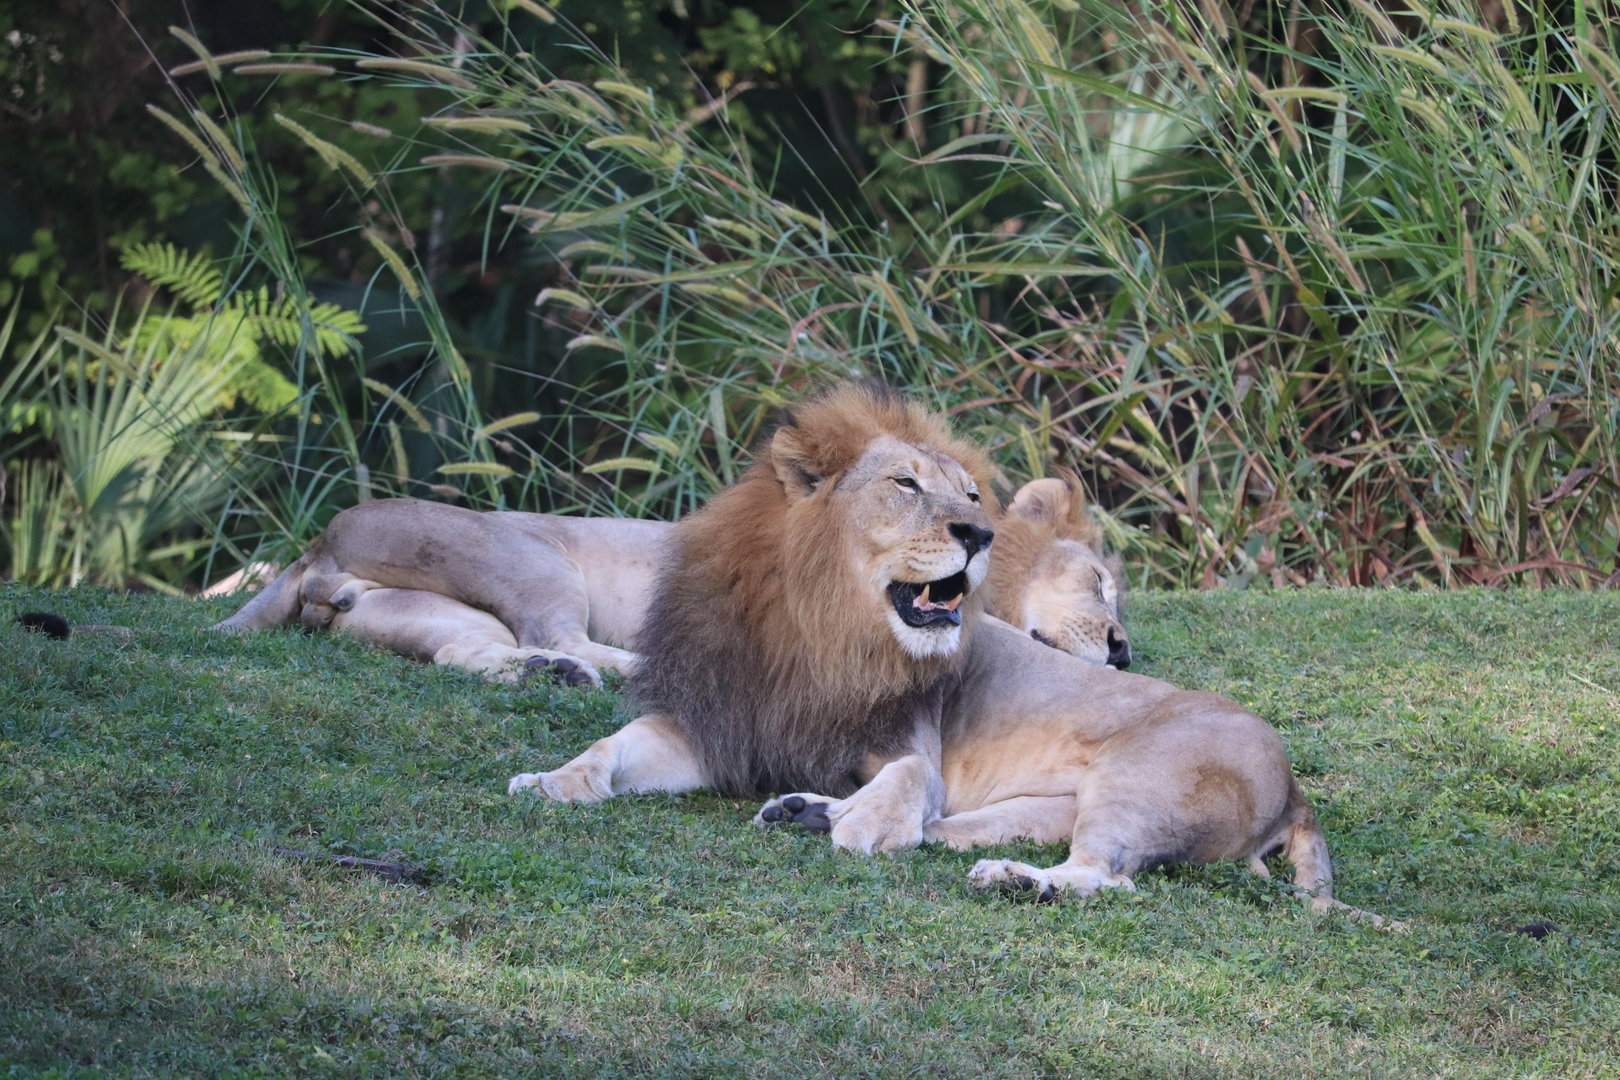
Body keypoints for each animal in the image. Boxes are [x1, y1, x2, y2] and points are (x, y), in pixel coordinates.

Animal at [507, 382, 1388, 922]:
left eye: (969, 495)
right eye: (905, 484)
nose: (978, 532)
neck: (820, 629)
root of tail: (1295, 787)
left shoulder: (910, 741)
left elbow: (909, 779)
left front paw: (865, 828)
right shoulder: (714, 724)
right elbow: (609, 747)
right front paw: (548, 782)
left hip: (1141, 783)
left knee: (1103, 877)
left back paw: (1005, 879)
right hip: (1041, 807)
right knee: (959, 833)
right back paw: (808, 808)